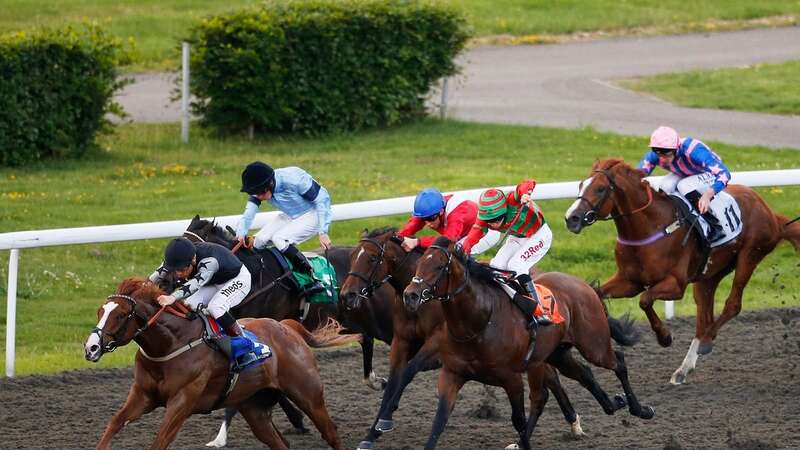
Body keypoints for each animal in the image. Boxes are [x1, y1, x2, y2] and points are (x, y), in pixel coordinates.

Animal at [84, 276, 356, 448]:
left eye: (120, 315)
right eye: (100, 311)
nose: (91, 348)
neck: (172, 343)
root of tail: (287, 327)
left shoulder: (183, 400)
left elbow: (160, 441)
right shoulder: (143, 395)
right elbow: (114, 424)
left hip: (308, 395)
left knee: (331, 433)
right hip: (255, 408)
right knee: (279, 442)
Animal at [344, 229, 588, 450]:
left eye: (372, 258)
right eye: (353, 255)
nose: (347, 294)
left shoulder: (436, 343)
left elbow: (408, 372)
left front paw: (383, 422)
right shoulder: (402, 342)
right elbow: (394, 382)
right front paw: (371, 434)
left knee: (551, 381)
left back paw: (570, 423)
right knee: (552, 378)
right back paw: (572, 422)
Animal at [404, 237, 652, 448]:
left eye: (438, 267)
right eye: (418, 264)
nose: (410, 295)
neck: (479, 322)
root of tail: (585, 286)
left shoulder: (512, 379)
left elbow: (519, 420)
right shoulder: (453, 374)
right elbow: (439, 421)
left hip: (593, 345)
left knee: (617, 361)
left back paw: (640, 409)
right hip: (556, 354)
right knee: (584, 374)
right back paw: (615, 403)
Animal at [564, 158, 800, 384]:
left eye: (600, 189)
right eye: (581, 184)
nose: (571, 218)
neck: (649, 227)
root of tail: (771, 213)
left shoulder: (675, 285)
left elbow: (645, 300)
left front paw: (664, 336)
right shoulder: (629, 281)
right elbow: (597, 293)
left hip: (749, 256)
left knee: (733, 305)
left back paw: (706, 342)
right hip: (709, 275)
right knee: (703, 318)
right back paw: (683, 369)